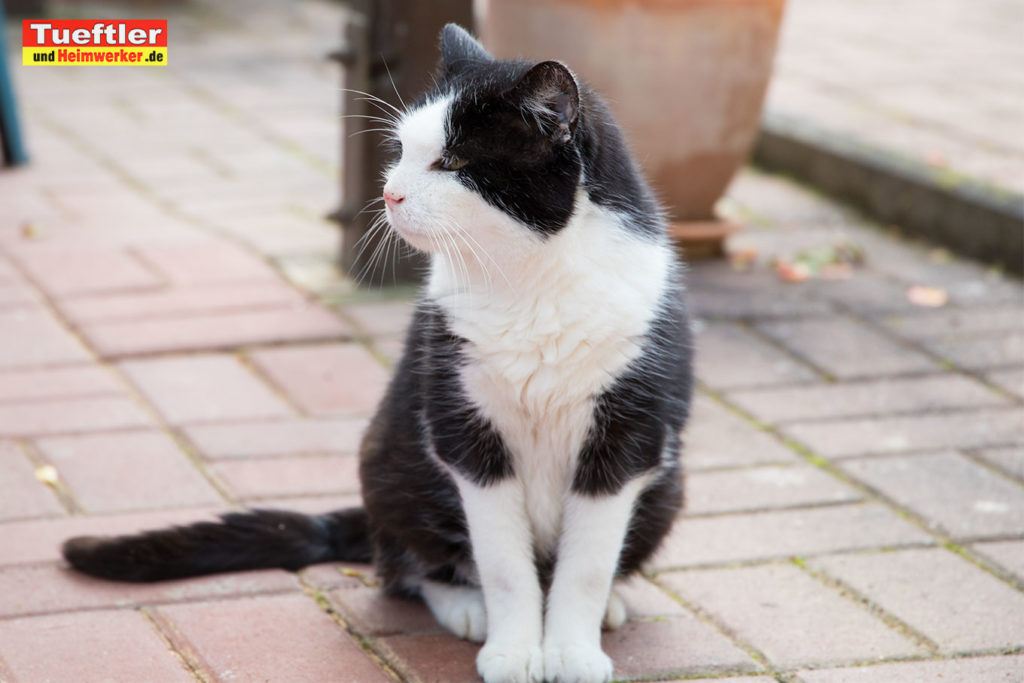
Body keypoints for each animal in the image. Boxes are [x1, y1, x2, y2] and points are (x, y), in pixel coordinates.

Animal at [64, 25, 696, 683]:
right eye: (402, 152)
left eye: (454, 163)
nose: (389, 193)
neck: (530, 282)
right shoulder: (463, 429)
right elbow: (502, 562)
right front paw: (514, 648)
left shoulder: (629, 434)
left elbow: (588, 563)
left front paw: (571, 649)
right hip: (390, 459)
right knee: (403, 565)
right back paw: (464, 604)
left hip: (670, 485)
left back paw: (609, 606)